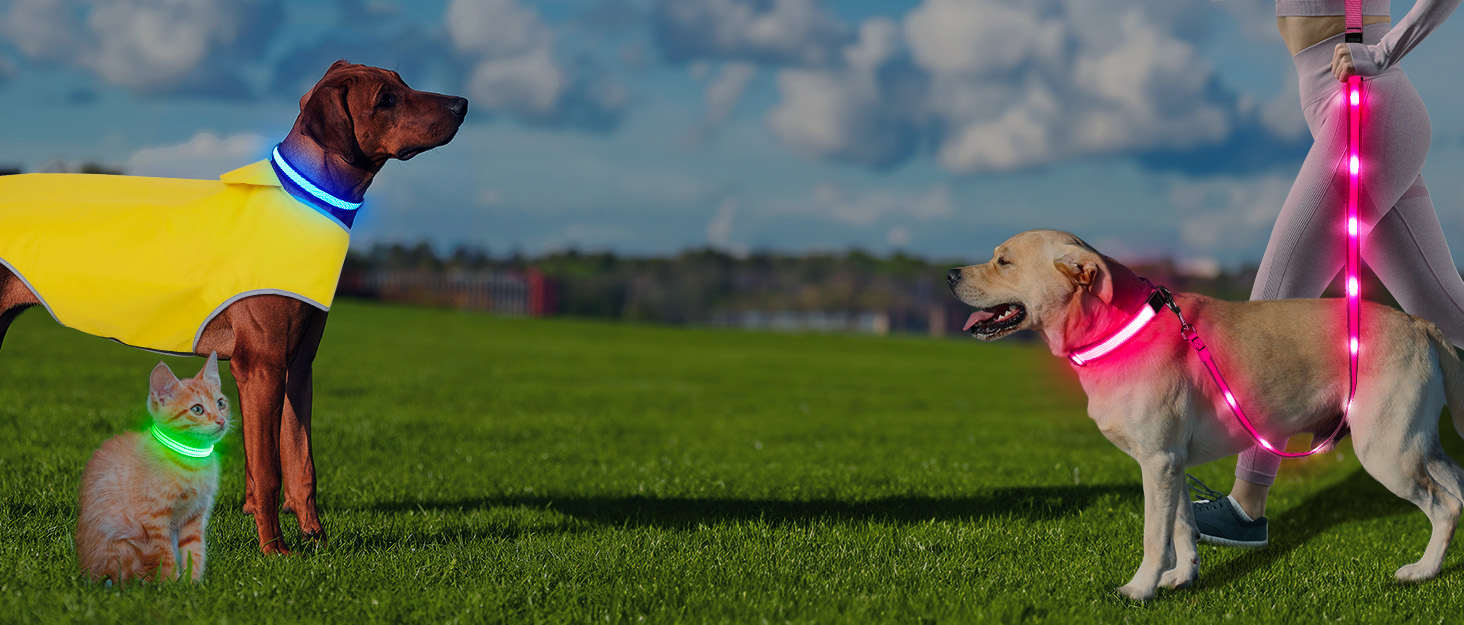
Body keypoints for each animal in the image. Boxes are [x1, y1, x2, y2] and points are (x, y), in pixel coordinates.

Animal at [0, 61, 465, 556]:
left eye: (402, 80)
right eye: (385, 99)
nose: (462, 105)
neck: (304, 198)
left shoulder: (299, 367)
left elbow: (301, 462)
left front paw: (316, 540)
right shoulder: (260, 366)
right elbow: (268, 469)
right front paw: (274, 549)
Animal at [74, 354, 228, 585]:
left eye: (221, 403)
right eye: (197, 409)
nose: (221, 420)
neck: (190, 461)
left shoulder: (194, 516)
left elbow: (194, 551)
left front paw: (192, 584)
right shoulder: (153, 520)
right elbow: (164, 555)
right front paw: (170, 585)